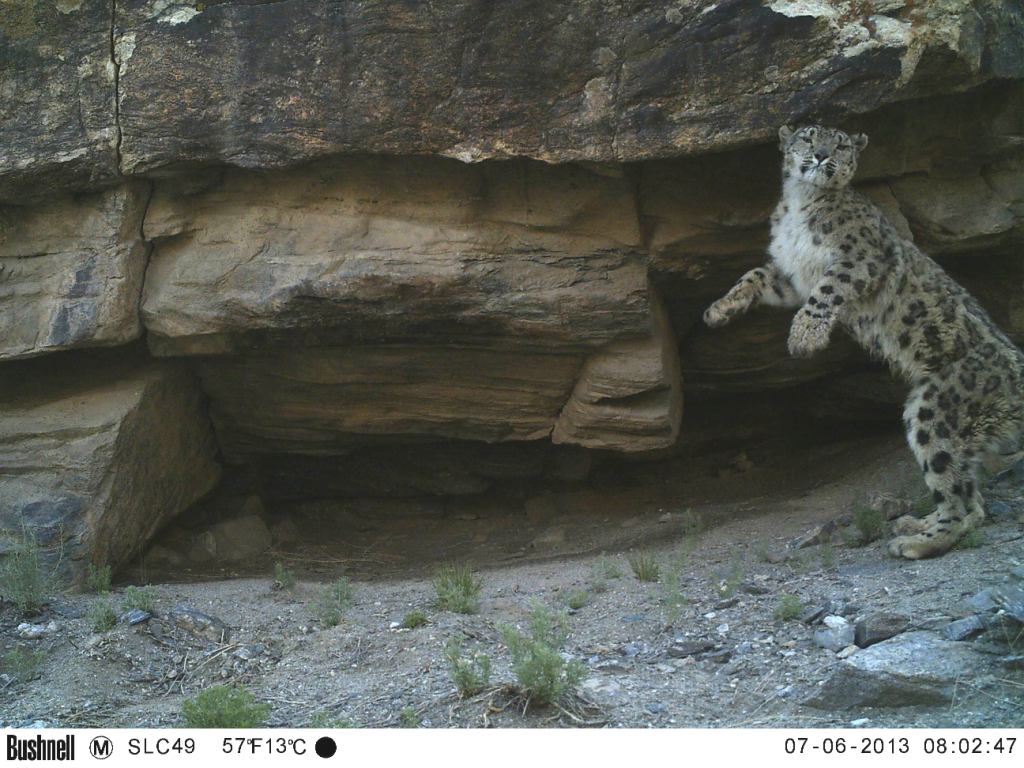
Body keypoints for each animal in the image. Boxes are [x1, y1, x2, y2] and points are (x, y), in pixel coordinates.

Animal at [703, 124, 1024, 559]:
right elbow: (754, 275)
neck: (801, 203)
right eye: (808, 137)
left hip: (936, 408)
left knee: (956, 494)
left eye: (840, 144)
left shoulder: (860, 258)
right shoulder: (789, 275)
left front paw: (804, 338)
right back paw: (916, 523)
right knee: (970, 497)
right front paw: (719, 309)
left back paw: (915, 542)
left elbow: (825, 290)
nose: (822, 155)